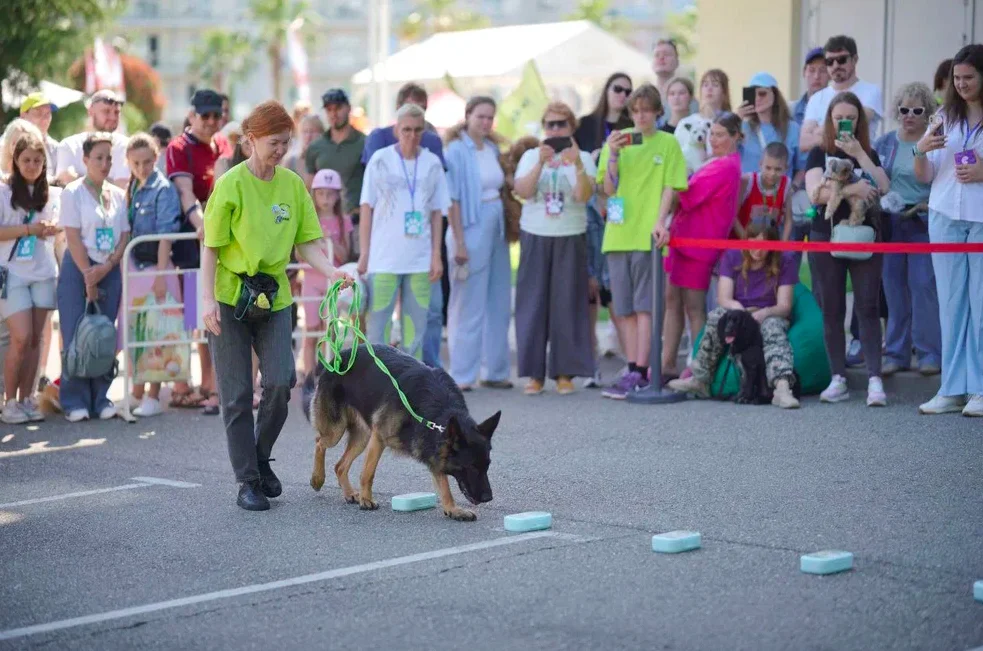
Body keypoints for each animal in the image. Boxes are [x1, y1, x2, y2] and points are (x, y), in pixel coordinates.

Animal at [300, 346, 500, 524]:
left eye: (487, 465)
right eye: (471, 467)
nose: (488, 497)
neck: (435, 413)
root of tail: (337, 356)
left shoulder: (434, 449)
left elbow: (444, 487)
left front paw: (453, 509)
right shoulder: (379, 437)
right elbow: (368, 473)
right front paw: (366, 499)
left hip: (362, 437)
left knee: (340, 466)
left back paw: (348, 493)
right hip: (337, 430)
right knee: (319, 442)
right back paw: (317, 478)